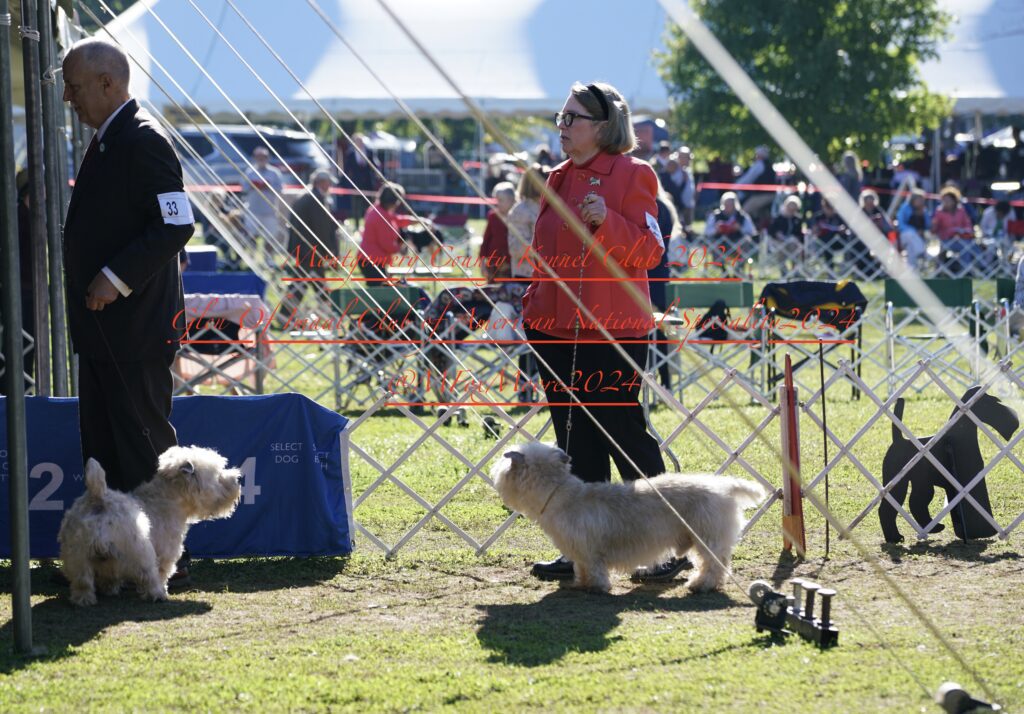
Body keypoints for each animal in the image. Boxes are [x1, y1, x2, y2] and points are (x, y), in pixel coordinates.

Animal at [59, 446, 241, 602]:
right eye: (217, 475)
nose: (237, 479)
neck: (169, 500)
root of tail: (98, 497)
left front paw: (109, 588)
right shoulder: (165, 554)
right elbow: (161, 573)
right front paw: (162, 588)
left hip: (77, 554)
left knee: (82, 580)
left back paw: (84, 599)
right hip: (138, 551)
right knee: (147, 575)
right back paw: (158, 594)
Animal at [491, 442, 770, 594]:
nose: (495, 472)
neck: (560, 494)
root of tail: (724, 486)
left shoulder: (590, 550)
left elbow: (595, 568)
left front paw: (597, 587)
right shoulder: (579, 552)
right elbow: (581, 567)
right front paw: (581, 583)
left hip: (707, 538)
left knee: (713, 565)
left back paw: (700, 584)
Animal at [880, 387, 1015, 544]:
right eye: (993, 402)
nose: (1013, 420)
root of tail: (898, 440)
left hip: (920, 483)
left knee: (916, 504)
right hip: (901, 483)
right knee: (892, 508)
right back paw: (895, 537)